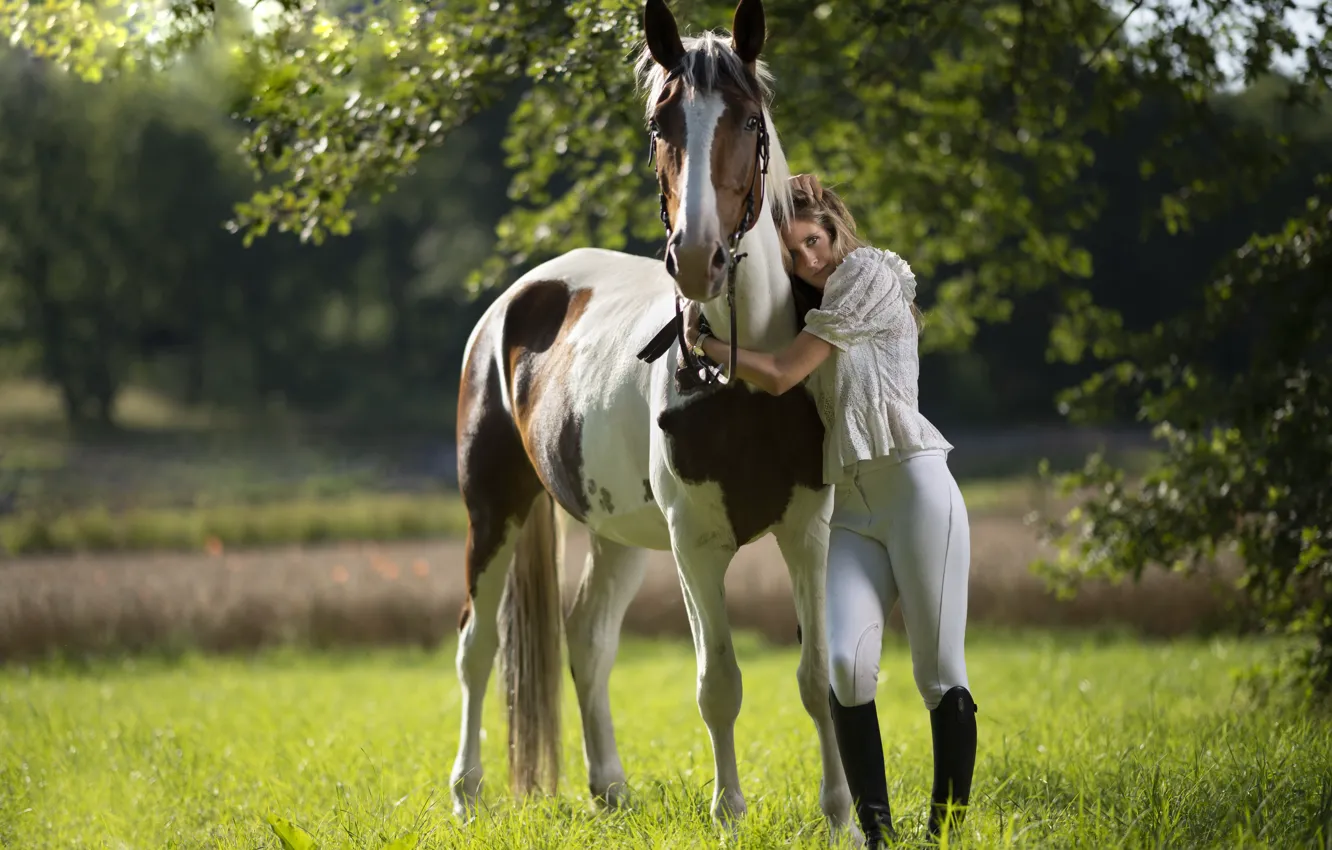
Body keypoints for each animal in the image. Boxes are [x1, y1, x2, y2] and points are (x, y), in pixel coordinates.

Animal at [447, 0, 856, 838]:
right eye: (660, 120)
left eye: (748, 118)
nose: (697, 258)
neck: (745, 379)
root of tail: (512, 303)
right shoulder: (696, 546)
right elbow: (719, 682)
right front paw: (729, 813)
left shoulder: (807, 531)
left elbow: (813, 676)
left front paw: (840, 816)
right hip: (494, 509)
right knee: (477, 646)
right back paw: (467, 796)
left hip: (616, 534)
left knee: (588, 638)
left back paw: (609, 787)